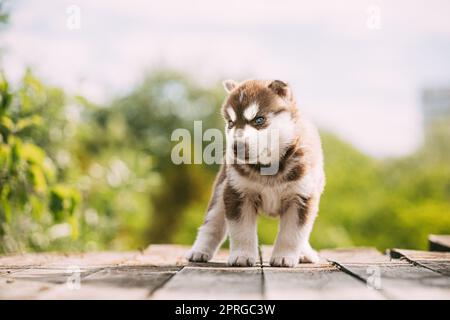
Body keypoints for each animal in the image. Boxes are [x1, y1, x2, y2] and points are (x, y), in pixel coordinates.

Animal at [185, 79, 326, 266]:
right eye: (230, 123)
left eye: (259, 119)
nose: (236, 146)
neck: (269, 167)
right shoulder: (238, 193)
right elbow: (242, 230)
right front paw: (242, 256)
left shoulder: (301, 197)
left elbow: (293, 234)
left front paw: (284, 257)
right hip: (220, 192)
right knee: (211, 225)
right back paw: (199, 251)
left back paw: (305, 253)